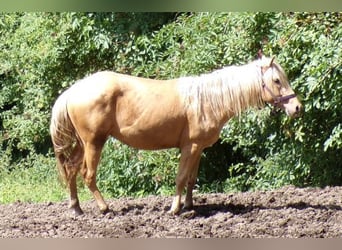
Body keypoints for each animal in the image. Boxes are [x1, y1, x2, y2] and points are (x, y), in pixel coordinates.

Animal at [50, 54, 302, 215]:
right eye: (277, 80)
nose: (297, 107)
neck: (208, 100)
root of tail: (73, 90)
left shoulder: (199, 148)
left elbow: (191, 179)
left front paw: (189, 206)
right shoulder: (190, 147)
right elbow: (180, 177)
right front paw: (174, 209)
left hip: (82, 144)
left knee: (71, 170)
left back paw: (76, 209)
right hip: (94, 142)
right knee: (88, 175)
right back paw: (104, 208)